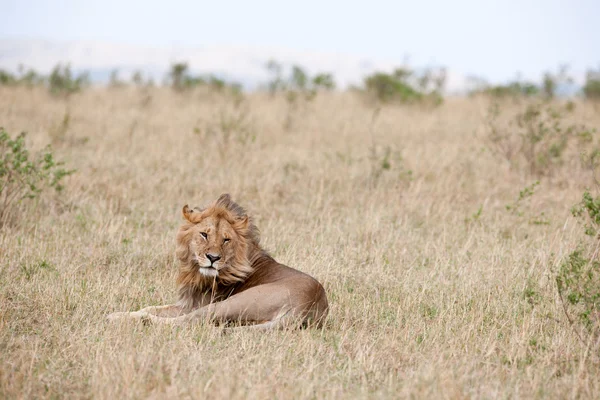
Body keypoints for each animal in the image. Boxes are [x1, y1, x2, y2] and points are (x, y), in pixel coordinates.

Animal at [108, 193, 328, 328]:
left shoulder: (195, 305)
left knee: (190, 321)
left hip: (232, 303)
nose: (212, 258)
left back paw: (124, 319)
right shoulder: (187, 303)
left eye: (226, 239)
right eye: (204, 235)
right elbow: (151, 307)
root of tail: (310, 305)